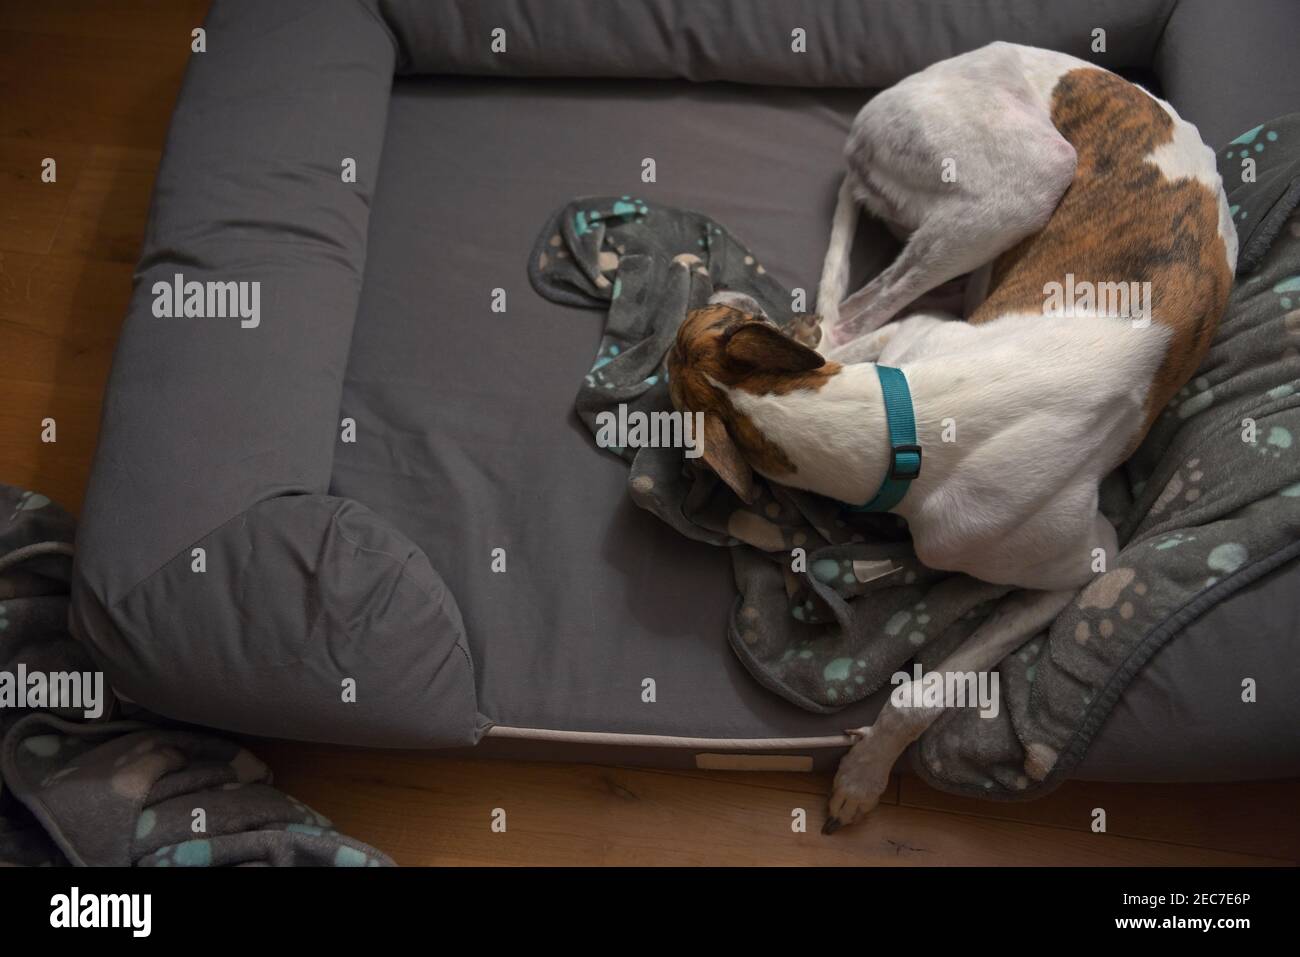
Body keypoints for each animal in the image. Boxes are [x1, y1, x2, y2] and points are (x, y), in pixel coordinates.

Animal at [665, 42, 1232, 832]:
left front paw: (864, 772)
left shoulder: (1088, 558)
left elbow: (924, 691)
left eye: (714, 327)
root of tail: (880, 108)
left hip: (1017, 188)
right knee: (852, 313)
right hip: (1014, 186)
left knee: (853, 314)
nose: (717, 292)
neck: (907, 421)